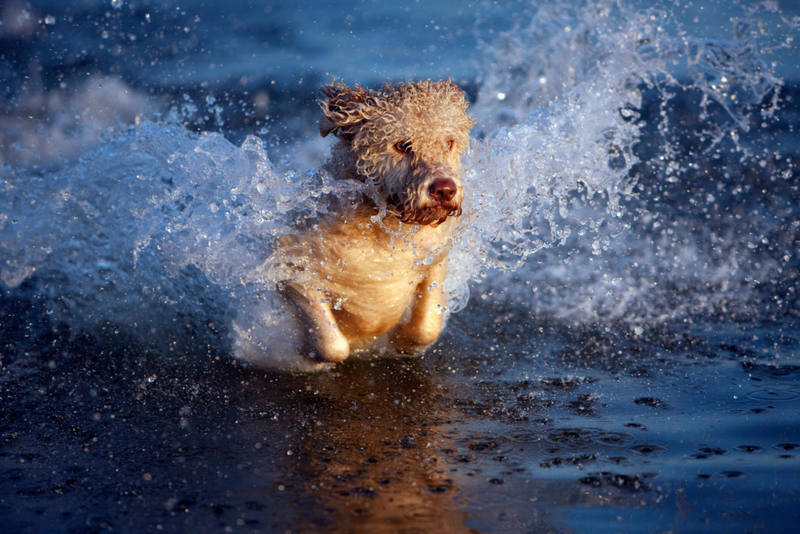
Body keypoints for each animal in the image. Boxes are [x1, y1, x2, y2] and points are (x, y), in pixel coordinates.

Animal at [278, 79, 472, 366]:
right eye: (402, 145)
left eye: (449, 142)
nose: (445, 189)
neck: (387, 234)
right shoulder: (292, 266)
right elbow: (333, 345)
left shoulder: (436, 258)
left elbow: (426, 328)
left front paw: (403, 340)